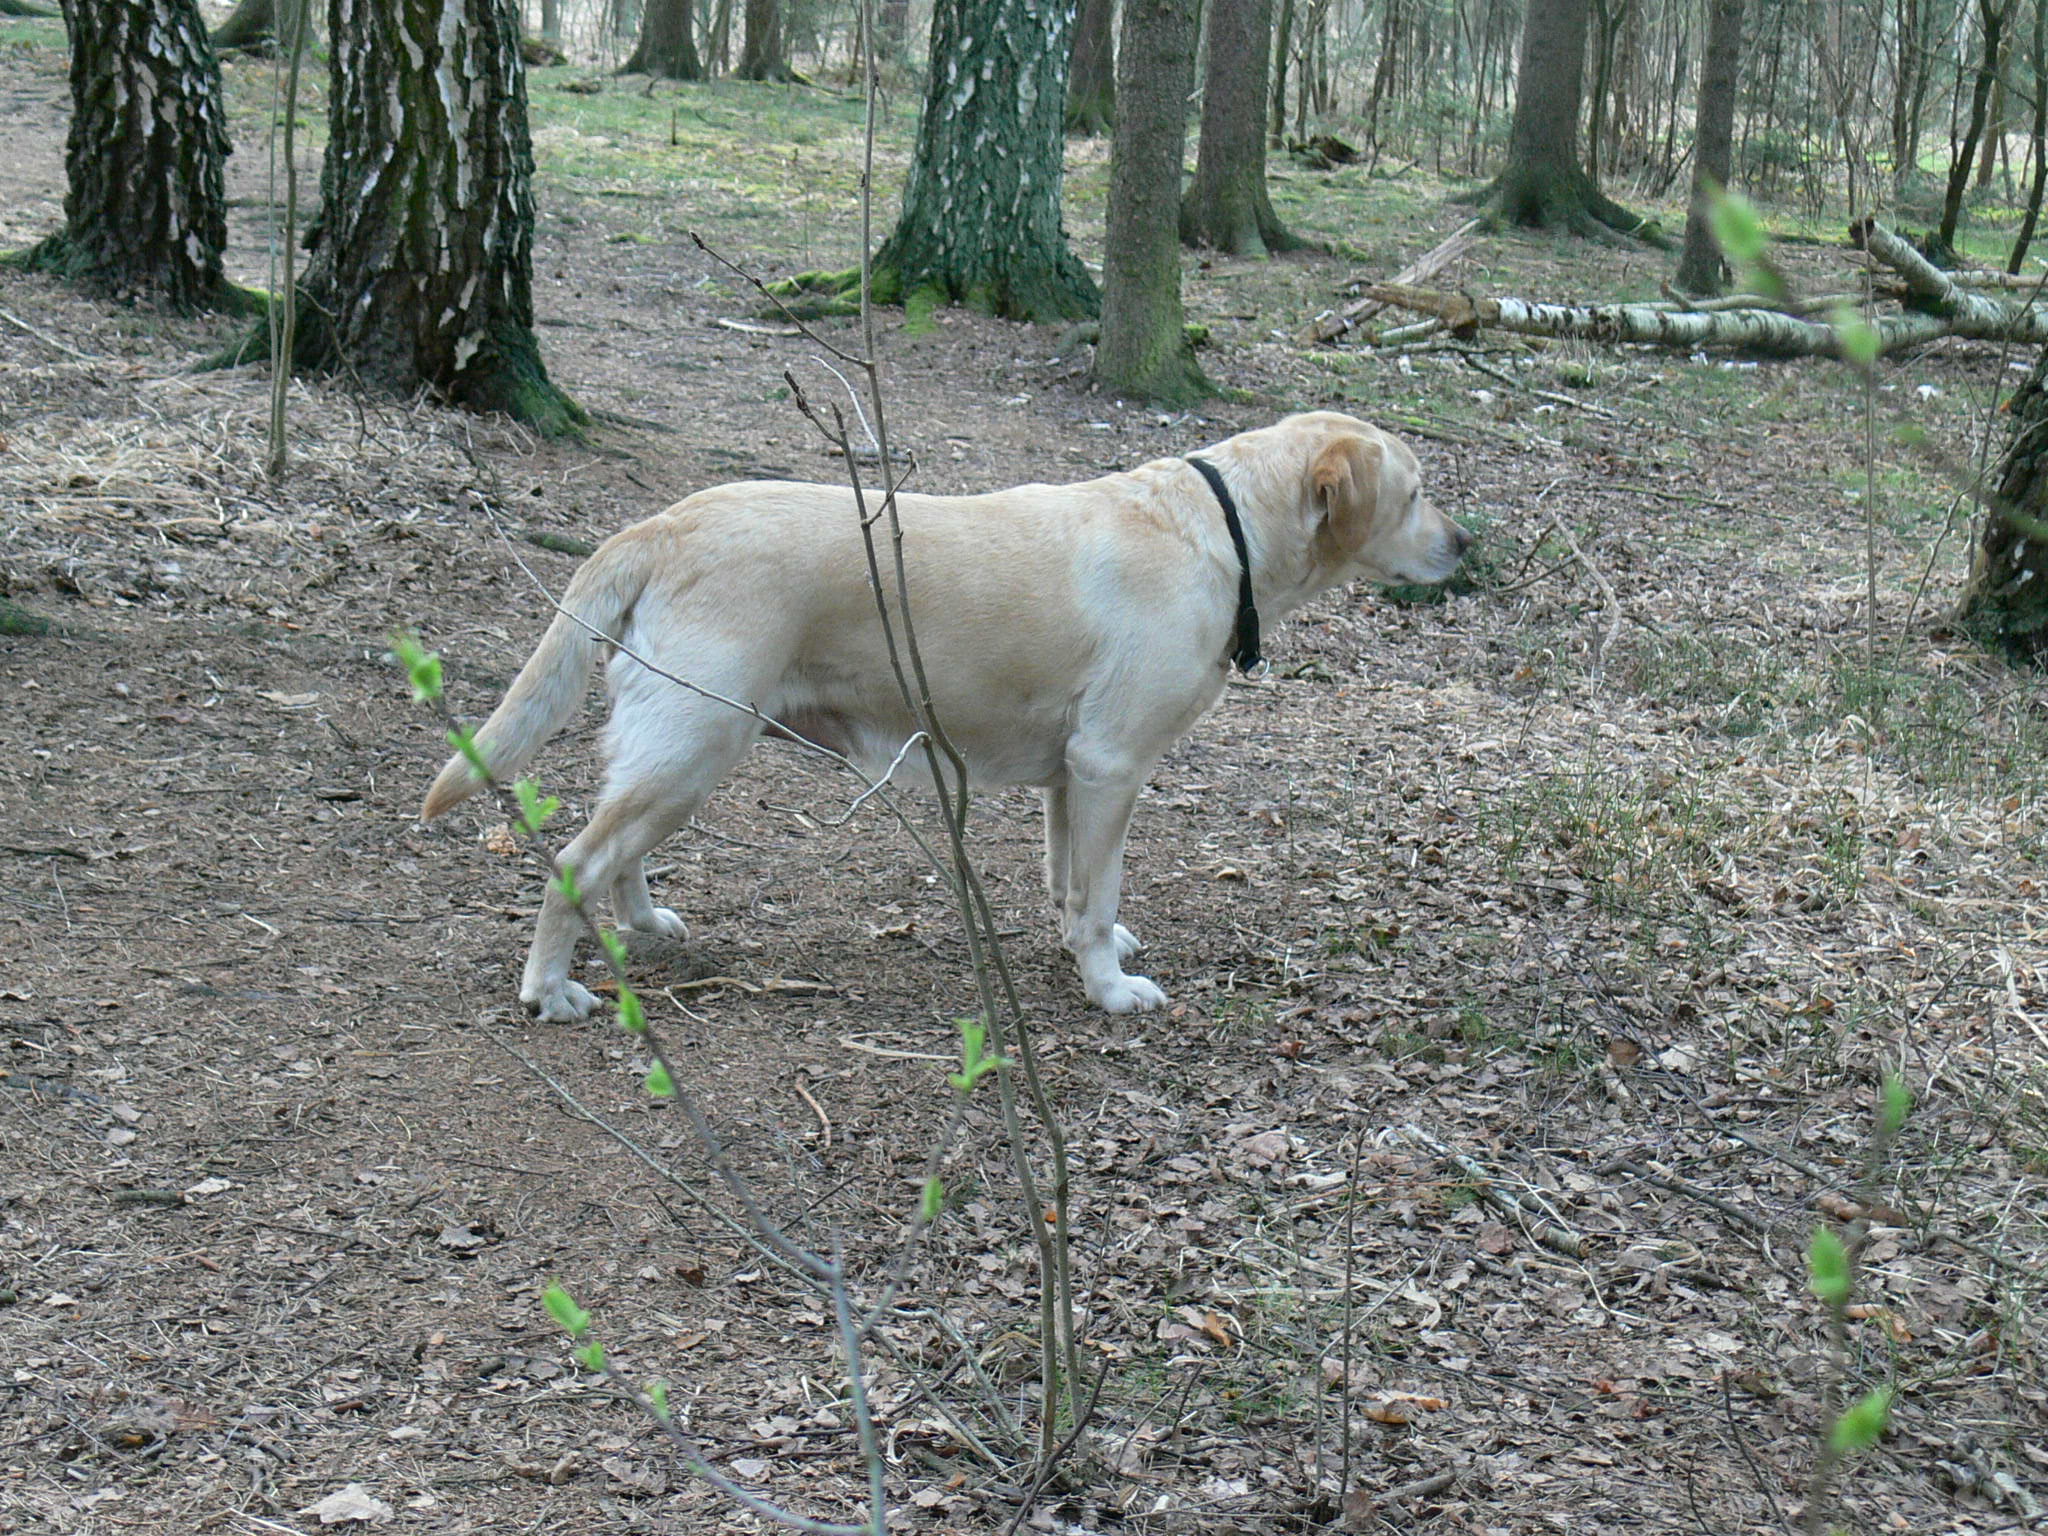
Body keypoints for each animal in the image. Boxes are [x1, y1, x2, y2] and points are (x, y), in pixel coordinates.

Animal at [423, 415, 1466, 1028]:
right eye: (1417, 494)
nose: (1470, 543)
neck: (1227, 533)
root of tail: (662, 524)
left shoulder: (1071, 777)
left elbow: (1073, 887)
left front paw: (1087, 949)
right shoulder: (1112, 764)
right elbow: (1099, 896)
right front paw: (1110, 990)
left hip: (682, 749)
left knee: (615, 848)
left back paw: (642, 923)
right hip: (695, 744)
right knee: (573, 859)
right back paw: (552, 988)